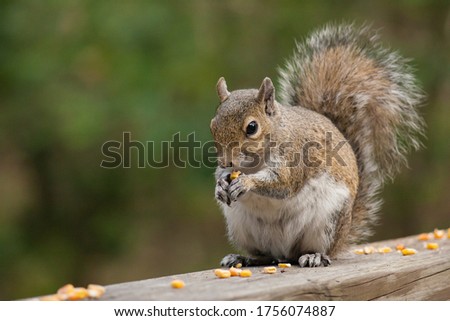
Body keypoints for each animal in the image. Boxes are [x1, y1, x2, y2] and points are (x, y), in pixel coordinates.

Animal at [209, 23, 424, 266]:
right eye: (213, 124)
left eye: (252, 127)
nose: (226, 161)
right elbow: (223, 176)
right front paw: (220, 184)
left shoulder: (295, 157)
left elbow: (283, 183)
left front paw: (246, 183)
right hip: (242, 227)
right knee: (265, 255)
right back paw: (243, 258)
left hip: (328, 222)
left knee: (313, 250)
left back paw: (314, 255)